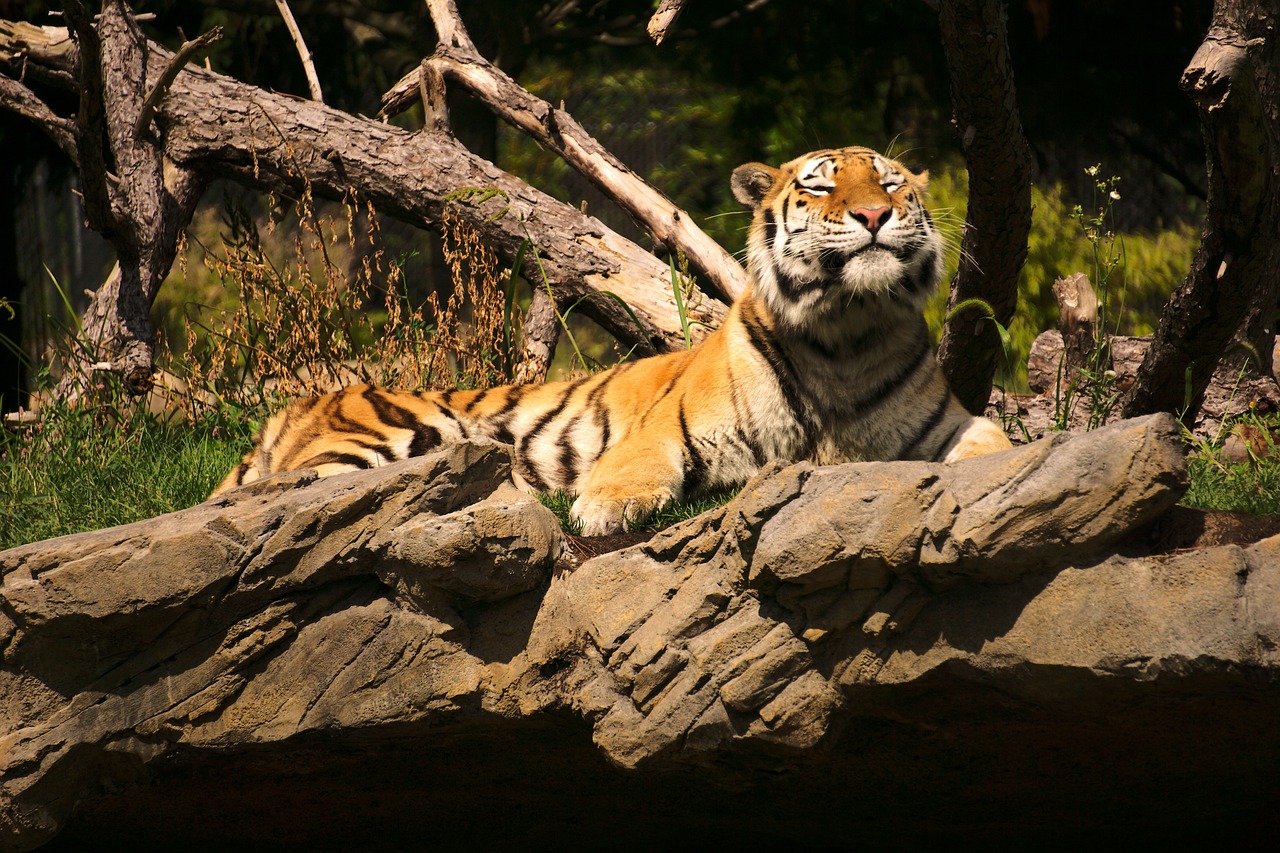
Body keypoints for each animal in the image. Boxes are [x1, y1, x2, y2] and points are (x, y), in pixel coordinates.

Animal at [211, 145, 1012, 535]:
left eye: (892, 183)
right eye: (820, 188)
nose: (875, 214)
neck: (848, 331)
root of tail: (305, 403)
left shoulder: (947, 423)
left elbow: (997, 445)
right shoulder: (670, 424)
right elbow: (633, 463)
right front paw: (600, 509)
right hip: (391, 436)